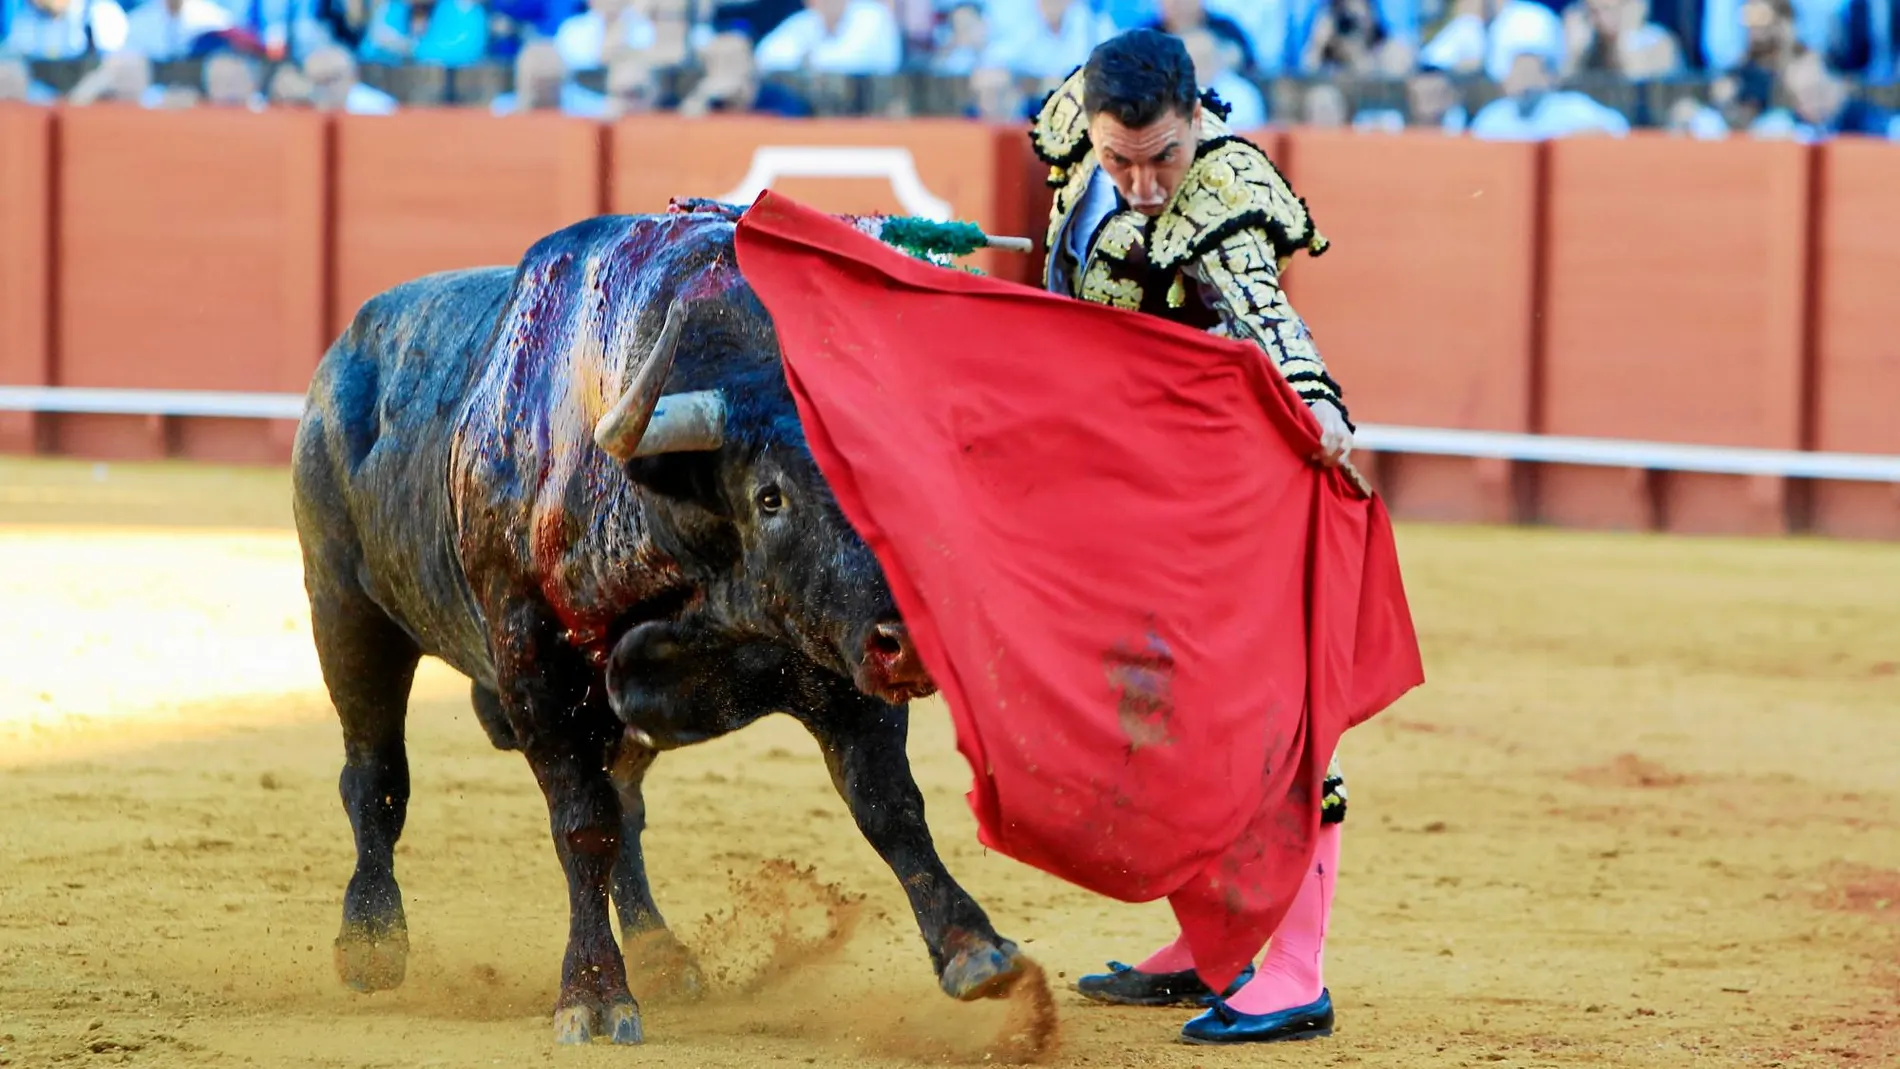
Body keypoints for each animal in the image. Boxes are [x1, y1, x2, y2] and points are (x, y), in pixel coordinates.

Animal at [296, 206, 1033, 1048]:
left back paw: (661, 953)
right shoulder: (534, 665)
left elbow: (887, 802)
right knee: (376, 775)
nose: (908, 640)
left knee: (627, 808)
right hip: (345, 612)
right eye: (771, 495)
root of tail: (343, 353)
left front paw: (974, 948)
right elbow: (581, 823)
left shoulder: (835, 665)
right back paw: (371, 943)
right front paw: (592, 994)